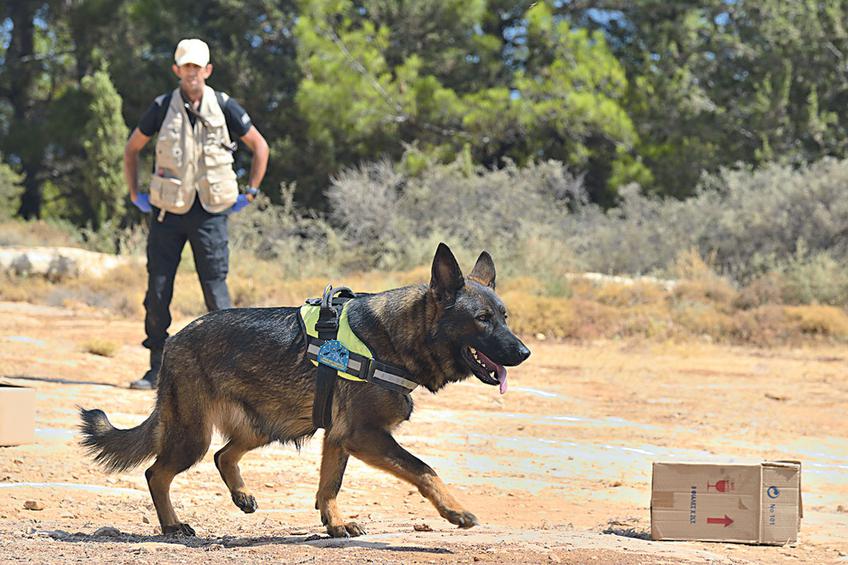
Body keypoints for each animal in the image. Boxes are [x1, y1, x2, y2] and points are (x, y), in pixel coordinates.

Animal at [81, 243, 528, 536]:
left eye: (505, 317)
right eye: (482, 319)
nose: (524, 352)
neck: (397, 336)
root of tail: (174, 339)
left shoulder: (339, 437)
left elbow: (329, 485)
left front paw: (335, 523)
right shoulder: (364, 435)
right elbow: (424, 469)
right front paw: (455, 511)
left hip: (263, 427)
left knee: (224, 456)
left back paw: (241, 496)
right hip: (194, 436)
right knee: (157, 473)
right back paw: (173, 525)